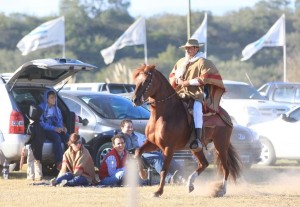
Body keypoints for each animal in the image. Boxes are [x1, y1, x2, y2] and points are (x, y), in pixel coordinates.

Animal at [131, 64, 241, 197]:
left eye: (147, 80)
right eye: (136, 80)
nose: (135, 100)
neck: (164, 114)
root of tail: (224, 114)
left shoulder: (169, 147)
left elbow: (164, 170)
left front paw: (158, 191)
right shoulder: (153, 143)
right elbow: (138, 152)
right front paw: (142, 174)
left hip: (221, 145)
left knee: (225, 168)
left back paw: (221, 190)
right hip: (196, 148)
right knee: (204, 163)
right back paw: (190, 184)